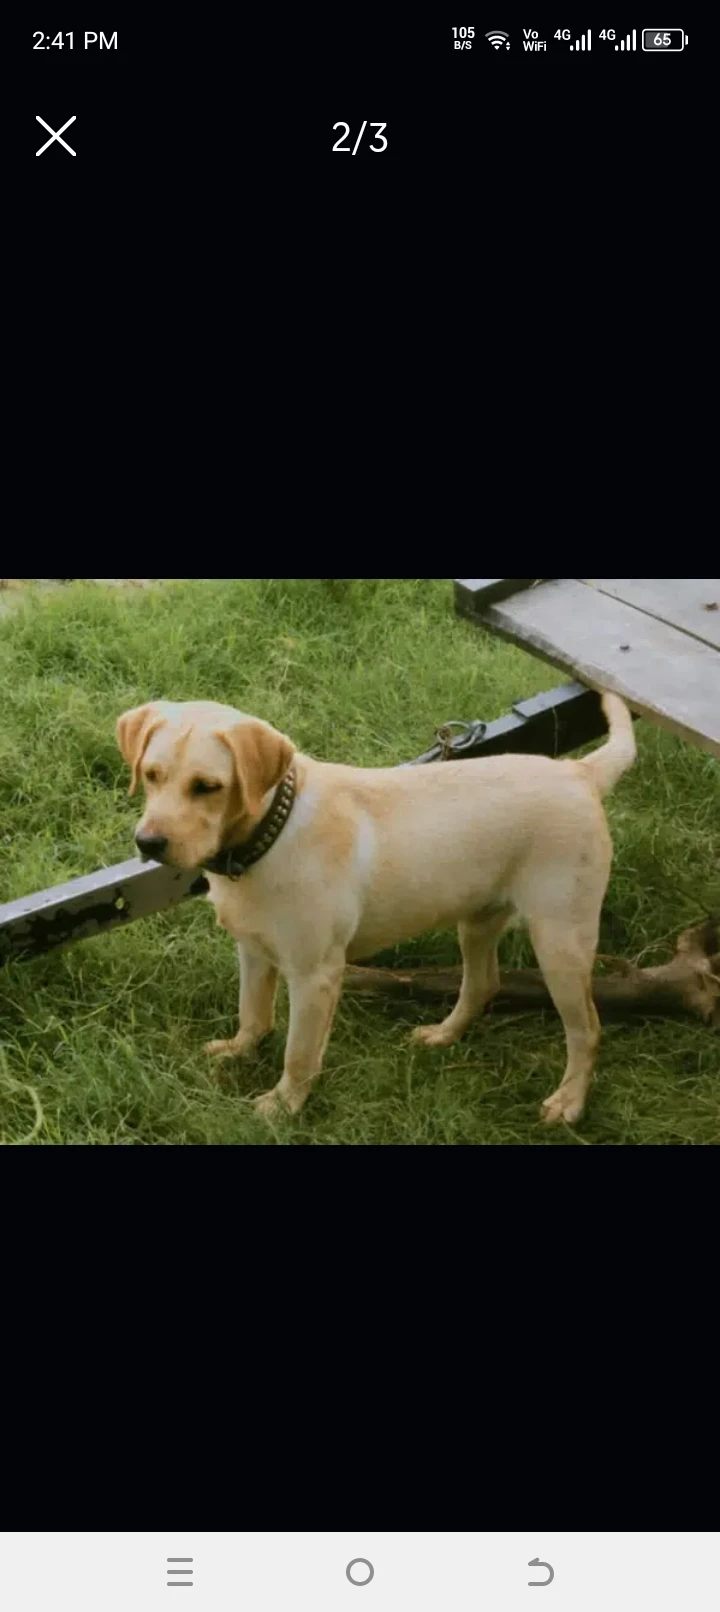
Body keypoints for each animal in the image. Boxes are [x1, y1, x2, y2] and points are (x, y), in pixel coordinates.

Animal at [116, 693, 637, 1121]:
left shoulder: (315, 975)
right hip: (477, 920)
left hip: (559, 940)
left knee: (587, 1029)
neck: (270, 834)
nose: (149, 843)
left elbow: (298, 1053)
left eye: (208, 787)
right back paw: (443, 1035)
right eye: (151, 776)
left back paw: (569, 1101)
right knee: (483, 983)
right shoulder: (254, 951)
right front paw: (240, 1051)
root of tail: (580, 771)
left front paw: (283, 1106)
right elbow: (253, 1012)